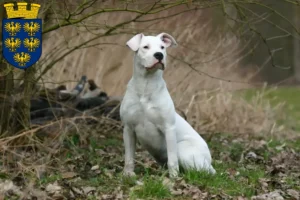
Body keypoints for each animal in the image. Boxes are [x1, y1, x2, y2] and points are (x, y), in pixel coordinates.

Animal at [119, 32, 216, 178]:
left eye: (162, 47)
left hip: (184, 149)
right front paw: (128, 174)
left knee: (199, 172)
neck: (146, 85)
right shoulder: (129, 129)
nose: (159, 55)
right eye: (145, 47)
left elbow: (172, 159)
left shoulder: (168, 128)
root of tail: (209, 162)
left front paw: (173, 178)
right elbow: (129, 157)